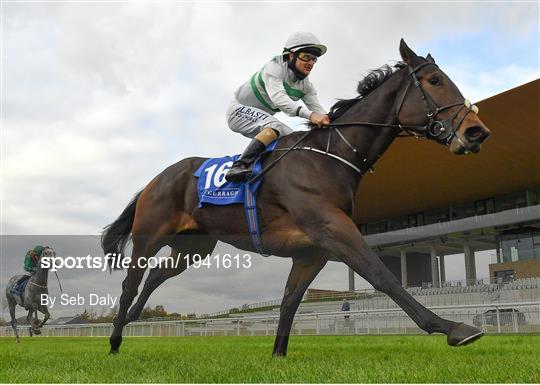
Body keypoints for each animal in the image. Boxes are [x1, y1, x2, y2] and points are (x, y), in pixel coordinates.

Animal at [102, 39, 494, 354]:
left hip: (193, 246)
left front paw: (278, 355)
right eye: (434, 81)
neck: (331, 155)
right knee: (129, 283)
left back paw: (133, 318)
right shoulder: (333, 229)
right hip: (150, 236)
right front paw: (453, 328)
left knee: (156, 276)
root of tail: (155, 179)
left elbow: (290, 301)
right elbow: (383, 276)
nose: (477, 132)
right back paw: (115, 339)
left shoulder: (312, 251)